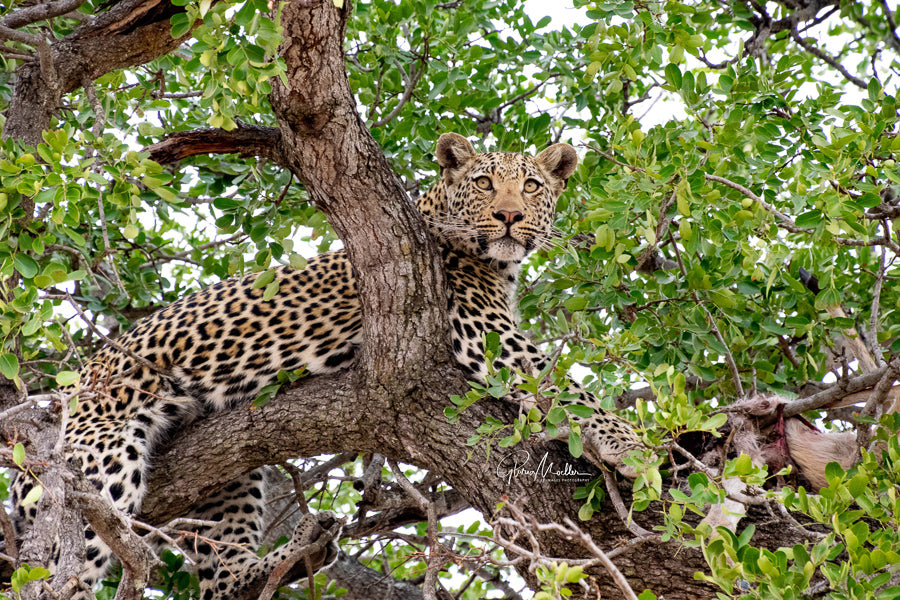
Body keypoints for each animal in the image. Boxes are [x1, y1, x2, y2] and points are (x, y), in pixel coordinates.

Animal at [9, 132, 643, 599]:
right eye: (484, 183)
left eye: (531, 185)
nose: (509, 216)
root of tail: (77, 384)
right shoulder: (482, 331)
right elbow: (567, 385)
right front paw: (634, 448)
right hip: (99, 462)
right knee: (69, 562)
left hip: (225, 468)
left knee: (220, 571)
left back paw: (283, 562)